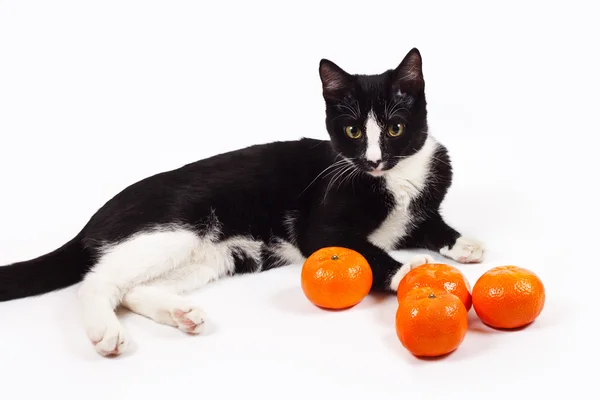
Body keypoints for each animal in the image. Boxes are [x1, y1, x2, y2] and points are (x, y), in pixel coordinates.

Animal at [0, 47, 482, 356]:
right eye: (353, 131)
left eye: (396, 128)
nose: (374, 160)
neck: (395, 180)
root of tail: (93, 219)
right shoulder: (321, 223)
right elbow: (362, 248)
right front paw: (410, 272)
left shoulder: (418, 207)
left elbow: (431, 223)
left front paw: (465, 244)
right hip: (176, 227)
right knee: (98, 281)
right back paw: (106, 333)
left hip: (217, 255)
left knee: (133, 288)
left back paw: (181, 314)